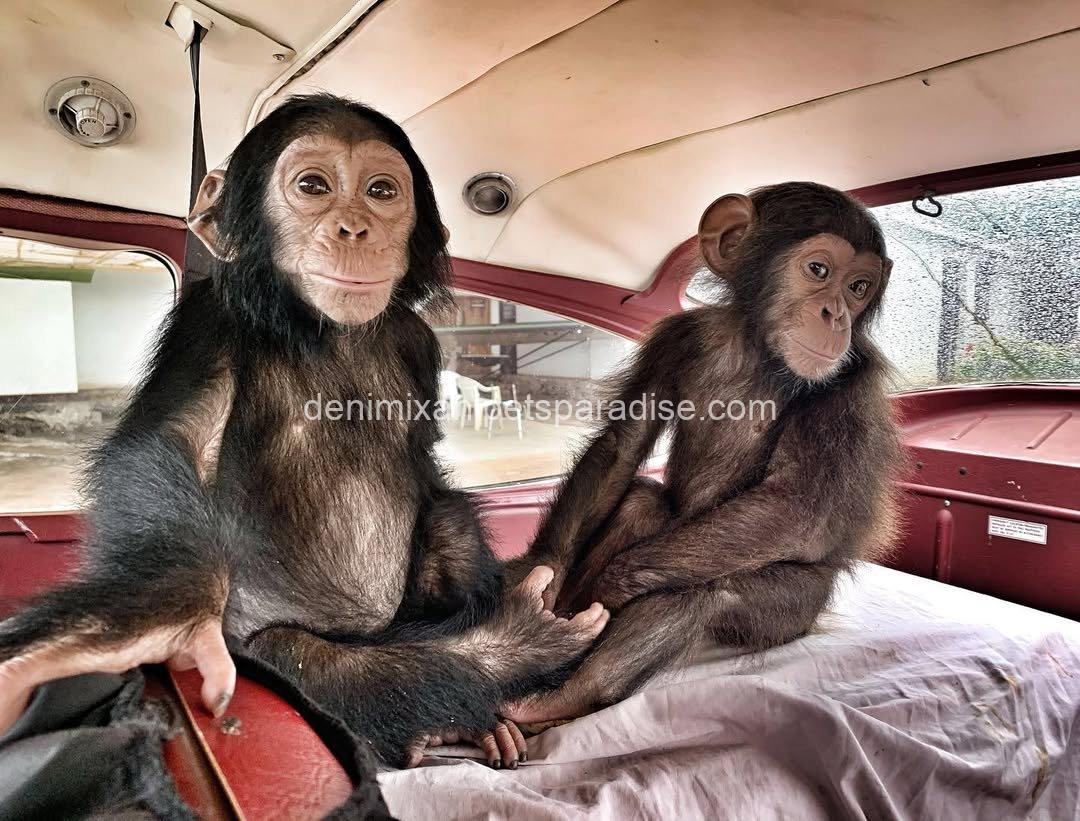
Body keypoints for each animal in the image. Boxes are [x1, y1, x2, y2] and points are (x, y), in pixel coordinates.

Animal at [0, 94, 609, 770]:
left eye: (381, 190)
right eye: (313, 187)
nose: (354, 228)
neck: (326, 329)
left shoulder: (417, 341)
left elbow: (425, 462)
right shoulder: (209, 322)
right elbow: (175, 440)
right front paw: (153, 620)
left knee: (448, 521)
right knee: (309, 659)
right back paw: (507, 650)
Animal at [502, 182, 903, 724]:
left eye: (859, 287)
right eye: (819, 270)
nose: (836, 314)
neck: (756, 348)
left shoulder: (849, 387)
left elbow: (794, 505)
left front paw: (608, 588)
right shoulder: (677, 337)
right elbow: (623, 443)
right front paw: (542, 584)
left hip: (795, 611)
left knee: (705, 588)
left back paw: (567, 693)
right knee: (641, 502)